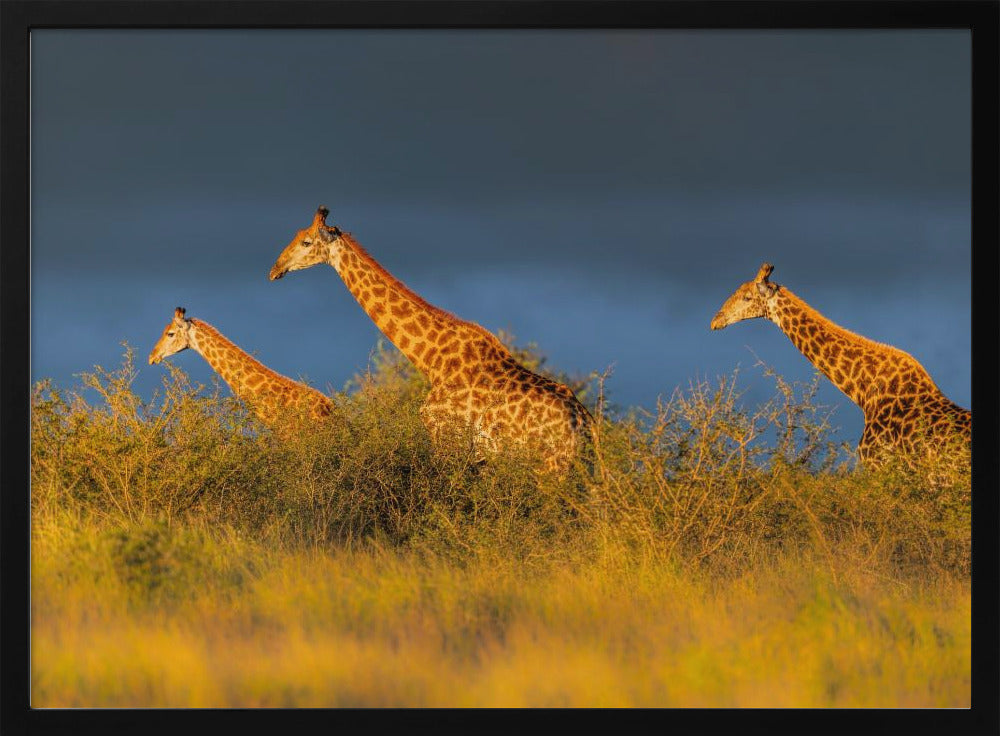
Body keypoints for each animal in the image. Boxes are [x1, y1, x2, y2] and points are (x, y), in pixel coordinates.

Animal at [267, 206, 593, 475]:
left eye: (306, 242)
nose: (275, 269)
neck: (432, 361)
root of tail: (584, 425)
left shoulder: (445, 439)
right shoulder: (476, 455)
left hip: (551, 466)